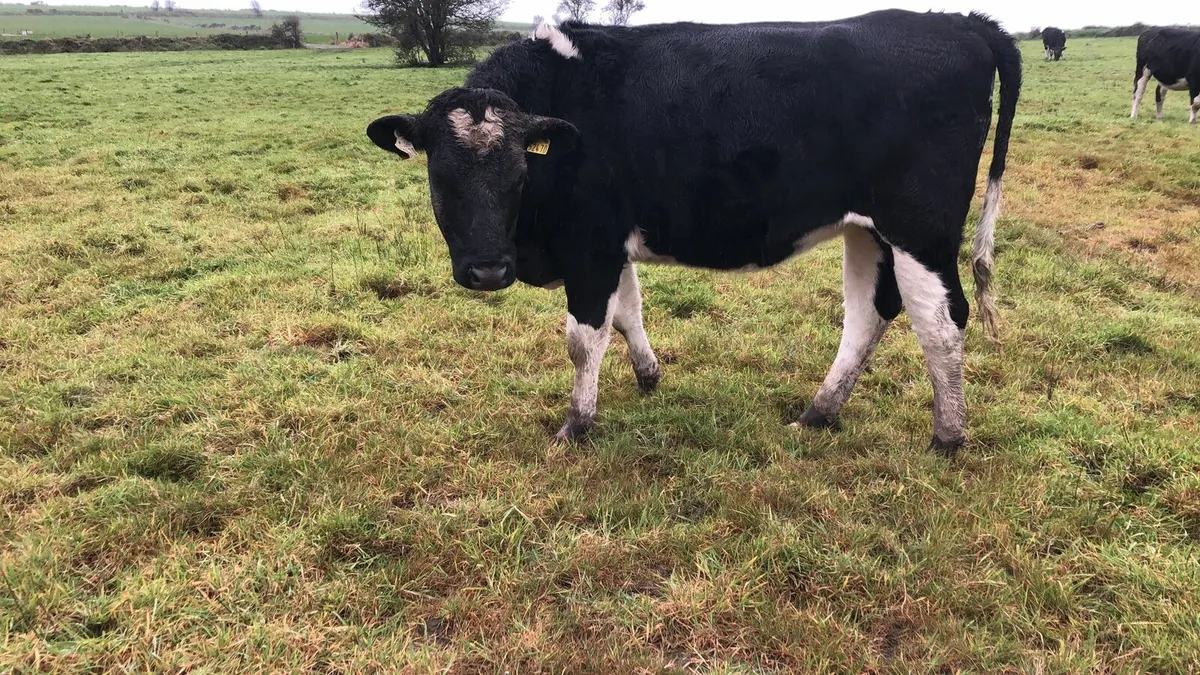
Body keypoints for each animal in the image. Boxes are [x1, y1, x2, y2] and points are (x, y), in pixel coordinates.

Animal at [366, 10, 1022, 455]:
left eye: (518, 171)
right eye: (440, 174)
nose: (486, 270)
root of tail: (955, 20)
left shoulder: (589, 246)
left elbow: (584, 338)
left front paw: (575, 424)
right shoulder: (609, 245)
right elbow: (627, 314)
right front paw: (648, 377)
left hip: (921, 229)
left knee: (940, 322)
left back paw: (947, 436)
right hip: (869, 231)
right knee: (870, 314)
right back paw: (818, 413)